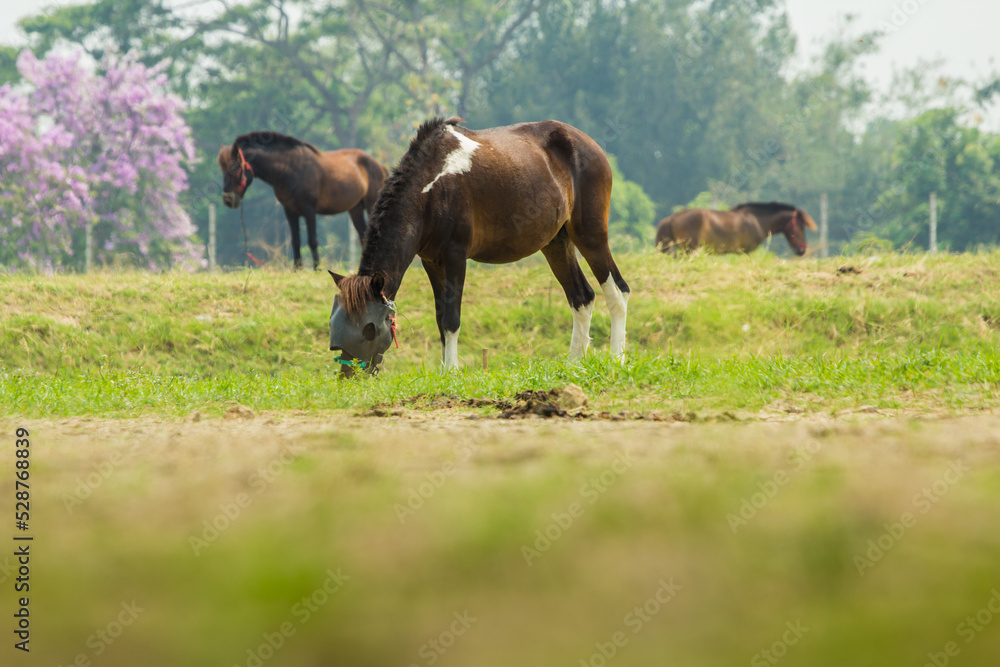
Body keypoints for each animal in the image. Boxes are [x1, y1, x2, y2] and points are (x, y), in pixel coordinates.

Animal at [217, 132, 387, 270]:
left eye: (234, 169)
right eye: (222, 171)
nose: (228, 200)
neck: (289, 169)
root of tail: (379, 166)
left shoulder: (309, 210)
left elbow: (312, 241)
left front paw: (317, 269)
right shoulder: (290, 211)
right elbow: (295, 240)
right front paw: (297, 269)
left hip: (371, 205)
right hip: (355, 209)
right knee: (362, 236)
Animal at [327, 117, 630, 376]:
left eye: (369, 329)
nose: (348, 374)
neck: (431, 187)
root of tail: (590, 144)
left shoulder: (456, 256)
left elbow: (451, 319)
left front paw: (451, 372)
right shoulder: (431, 262)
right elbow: (440, 319)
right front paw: (444, 371)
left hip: (591, 236)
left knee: (618, 291)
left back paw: (617, 358)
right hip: (556, 243)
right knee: (582, 297)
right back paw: (574, 363)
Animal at [655, 202, 817, 256]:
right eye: (801, 226)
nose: (802, 250)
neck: (757, 220)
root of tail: (672, 217)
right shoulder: (747, 251)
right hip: (690, 249)